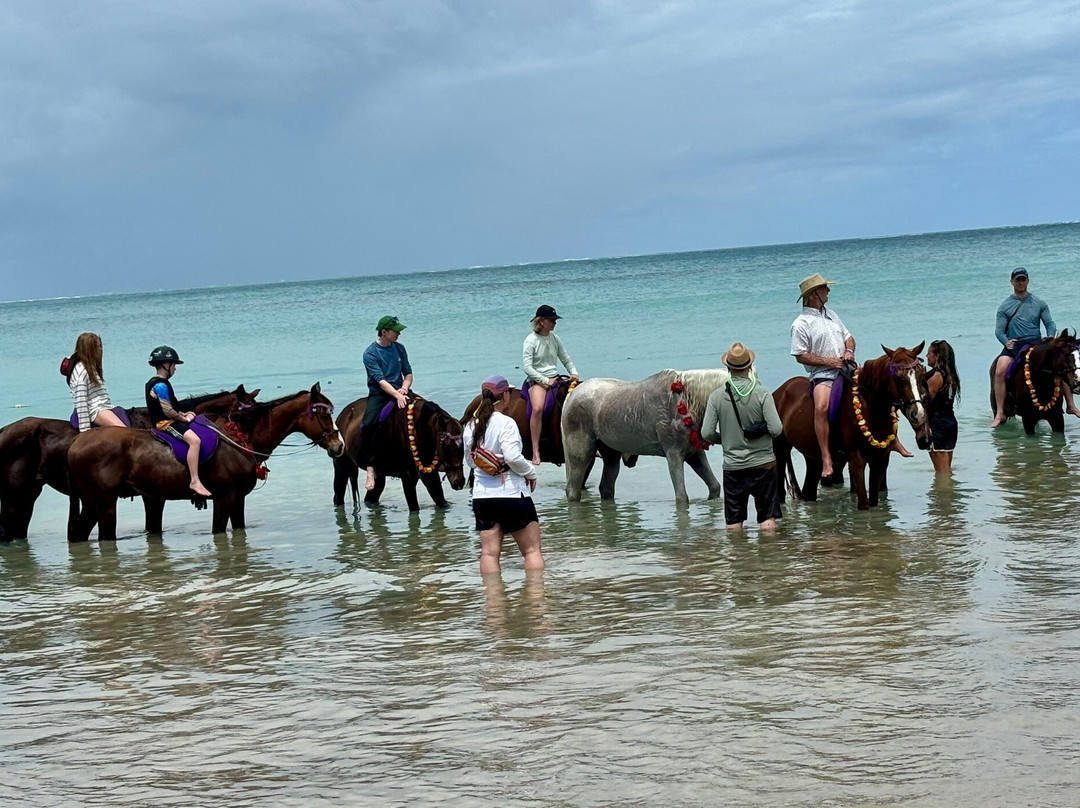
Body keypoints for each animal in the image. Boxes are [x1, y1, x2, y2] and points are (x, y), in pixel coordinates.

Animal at [66, 383, 342, 542]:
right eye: (322, 414)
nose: (338, 446)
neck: (238, 436)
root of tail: (75, 443)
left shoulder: (238, 499)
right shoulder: (224, 497)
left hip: (93, 503)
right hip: (104, 503)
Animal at [332, 392, 466, 512]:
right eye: (445, 444)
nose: (459, 482)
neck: (419, 429)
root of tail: (343, 415)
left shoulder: (428, 474)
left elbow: (441, 501)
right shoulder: (408, 477)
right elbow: (415, 508)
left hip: (378, 475)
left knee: (371, 497)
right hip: (341, 468)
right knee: (338, 495)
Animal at [561, 369, 728, 505]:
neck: (682, 402)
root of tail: (572, 395)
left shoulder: (694, 454)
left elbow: (714, 486)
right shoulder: (674, 455)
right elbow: (682, 497)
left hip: (611, 455)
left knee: (606, 488)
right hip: (580, 455)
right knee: (573, 490)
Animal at [772, 343, 932, 511]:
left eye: (920, 376)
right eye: (898, 378)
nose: (918, 413)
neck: (871, 409)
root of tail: (780, 392)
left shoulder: (880, 459)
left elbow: (874, 500)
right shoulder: (856, 459)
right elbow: (864, 504)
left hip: (812, 458)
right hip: (780, 451)